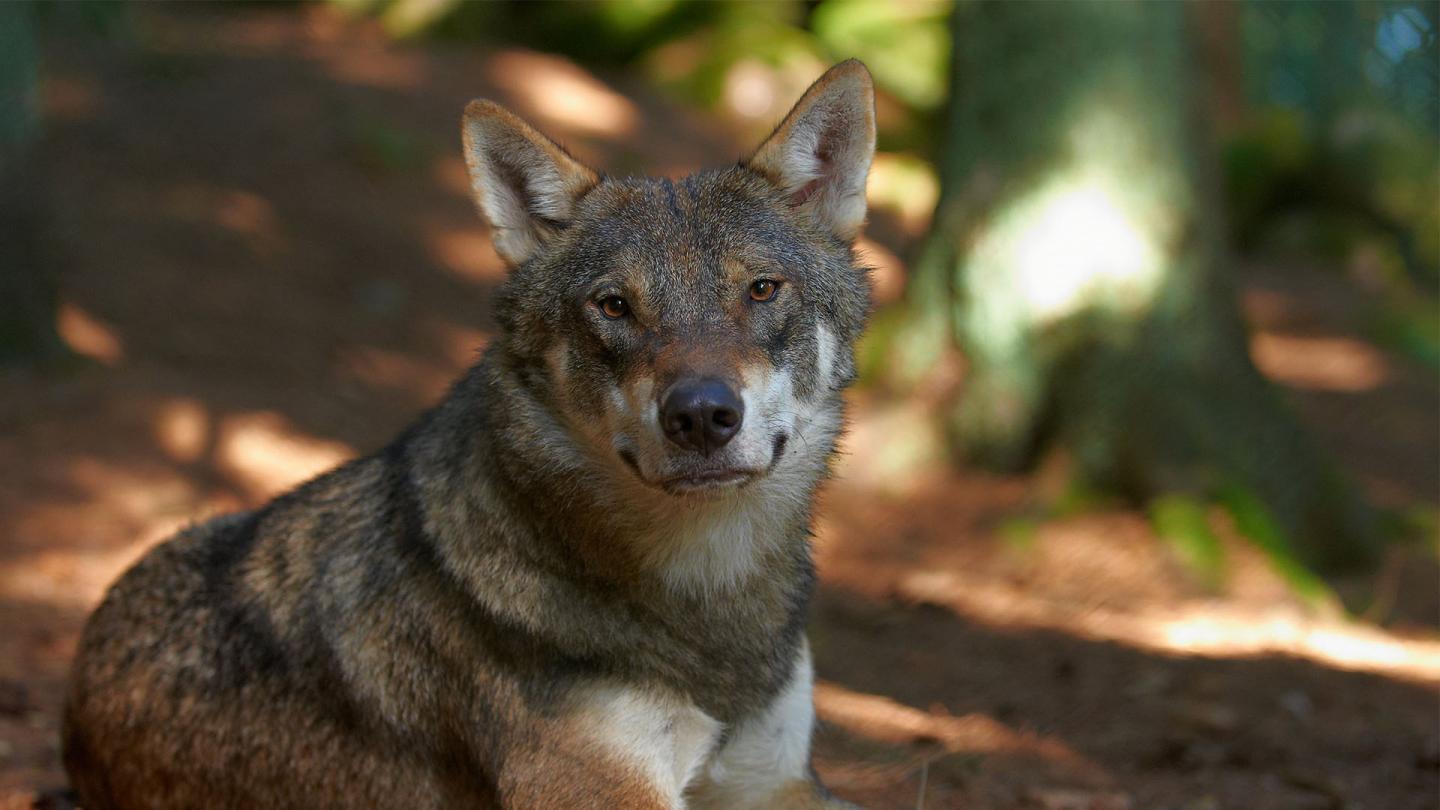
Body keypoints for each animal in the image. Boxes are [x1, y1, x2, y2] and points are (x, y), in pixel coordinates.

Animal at [63, 59, 875, 809]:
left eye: (761, 290)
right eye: (614, 306)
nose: (702, 414)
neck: (710, 610)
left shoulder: (779, 782)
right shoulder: (603, 792)